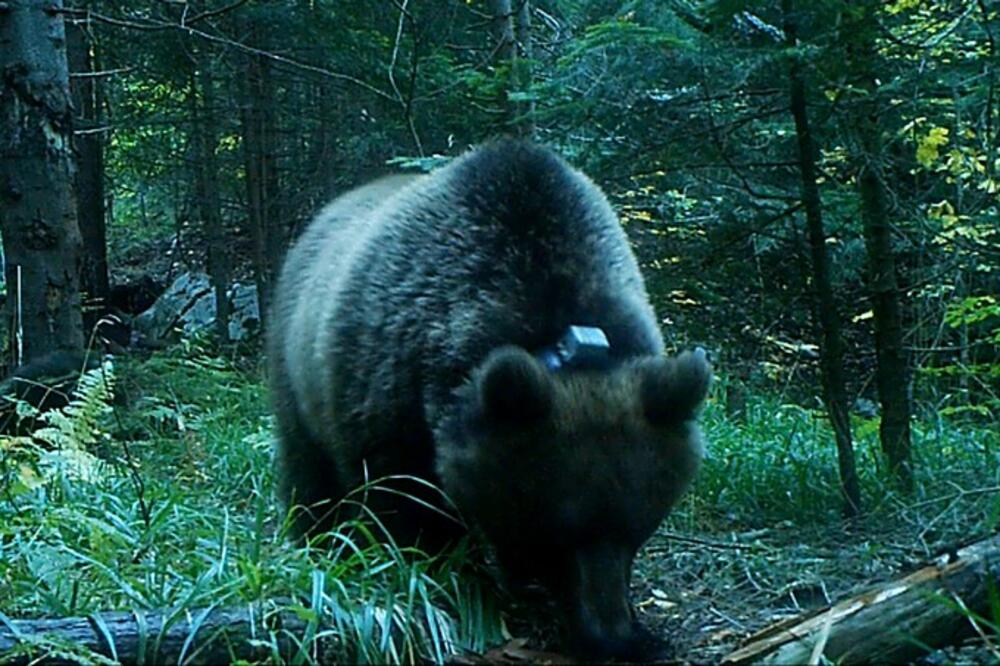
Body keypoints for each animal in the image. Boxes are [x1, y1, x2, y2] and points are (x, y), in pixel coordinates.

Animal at [268, 140, 712, 660]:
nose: (612, 639)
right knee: (307, 468)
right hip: (295, 370)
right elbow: (401, 503)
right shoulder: (390, 396)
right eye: (557, 531)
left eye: (638, 526)